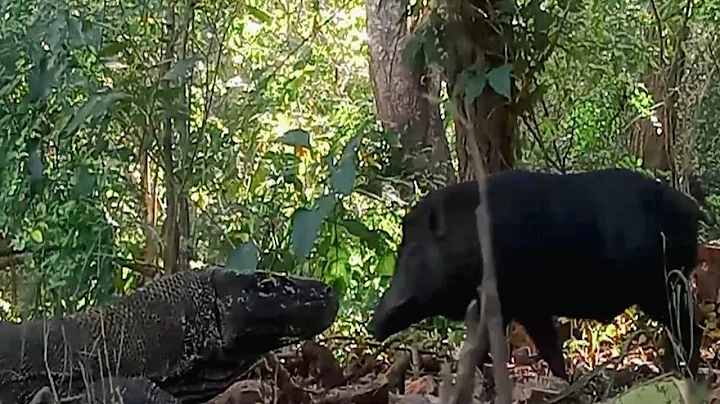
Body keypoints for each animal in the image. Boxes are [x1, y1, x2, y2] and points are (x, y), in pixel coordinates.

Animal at [369, 168, 703, 380]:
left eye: (413, 251)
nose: (374, 323)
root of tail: (693, 209)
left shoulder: (520, 301)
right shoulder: (517, 306)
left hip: (662, 283)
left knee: (691, 327)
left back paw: (684, 372)